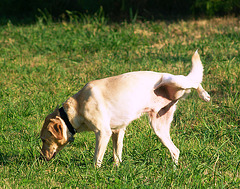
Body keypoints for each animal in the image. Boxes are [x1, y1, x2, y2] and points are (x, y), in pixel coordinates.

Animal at [40, 50, 210, 167]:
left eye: (43, 139)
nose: (41, 158)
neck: (77, 108)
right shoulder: (118, 131)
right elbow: (117, 154)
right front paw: (117, 169)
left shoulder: (103, 133)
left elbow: (97, 158)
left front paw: (94, 173)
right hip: (159, 128)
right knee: (175, 150)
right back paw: (173, 170)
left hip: (174, 81)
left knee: (195, 82)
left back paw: (205, 95)